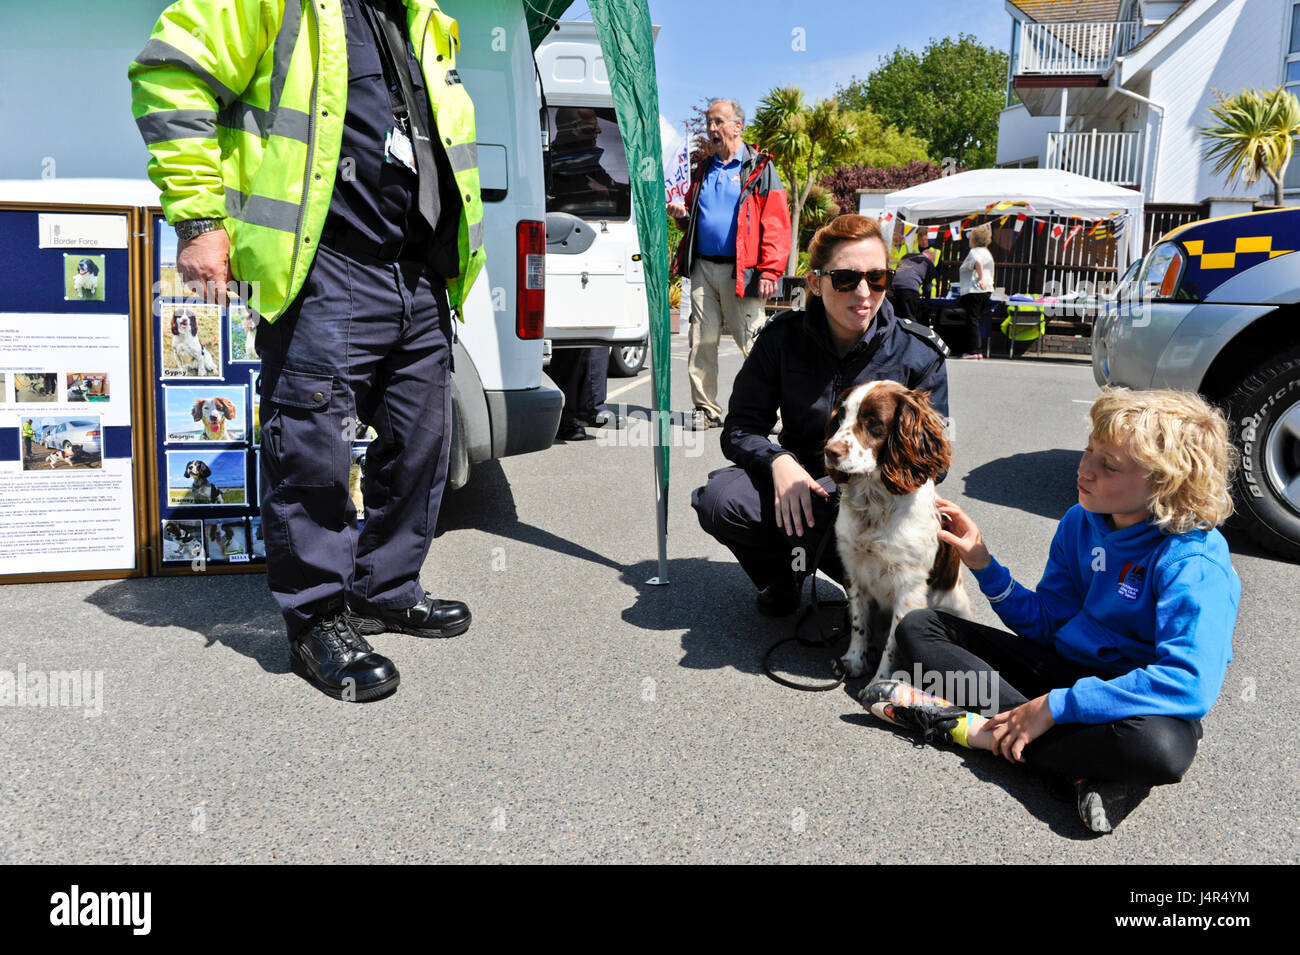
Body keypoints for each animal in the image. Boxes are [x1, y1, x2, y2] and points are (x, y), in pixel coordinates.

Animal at [821, 376, 967, 686]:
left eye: (873, 422)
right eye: (840, 417)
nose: (830, 451)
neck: (876, 504)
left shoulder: (909, 586)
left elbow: (894, 640)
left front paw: (881, 681)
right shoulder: (854, 570)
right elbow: (858, 624)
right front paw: (854, 661)